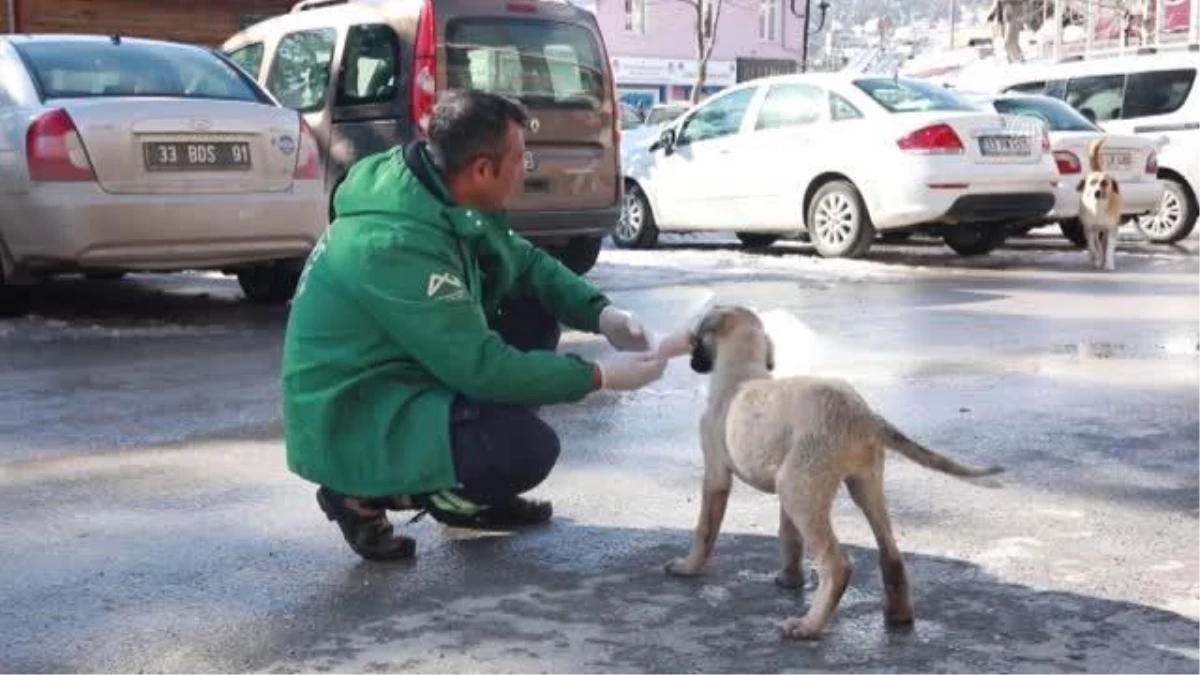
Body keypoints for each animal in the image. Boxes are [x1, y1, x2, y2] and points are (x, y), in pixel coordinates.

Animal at [657, 307, 1003, 638]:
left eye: (696, 339)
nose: (692, 361)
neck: (741, 373)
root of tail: (864, 416)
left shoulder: (716, 475)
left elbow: (704, 529)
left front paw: (689, 567)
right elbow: (789, 537)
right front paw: (791, 579)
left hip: (799, 489)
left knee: (838, 565)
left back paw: (810, 625)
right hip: (857, 485)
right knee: (891, 554)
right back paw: (899, 615)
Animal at [1080, 136, 1123, 270]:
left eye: (1105, 183)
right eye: (1092, 182)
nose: (1097, 192)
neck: (1098, 208)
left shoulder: (1112, 228)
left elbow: (1109, 248)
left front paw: (1109, 263)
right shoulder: (1089, 229)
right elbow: (1093, 246)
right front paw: (1097, 259)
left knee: (1104, 244)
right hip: (1095, 230)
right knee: (1096, 244)